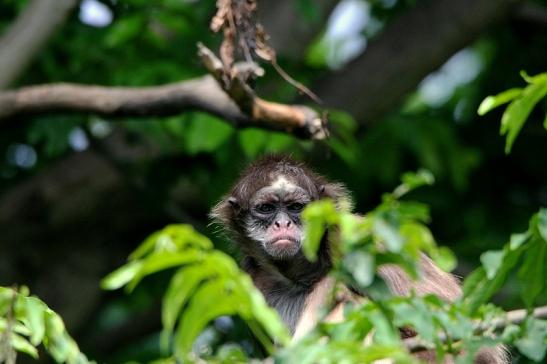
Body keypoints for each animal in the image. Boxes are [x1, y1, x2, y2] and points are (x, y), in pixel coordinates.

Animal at [211, 155, 510, 362]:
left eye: (296, 207)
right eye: (266, 208)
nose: (282, 224)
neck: (300, 277)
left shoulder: (353, 238)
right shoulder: (252, 279)